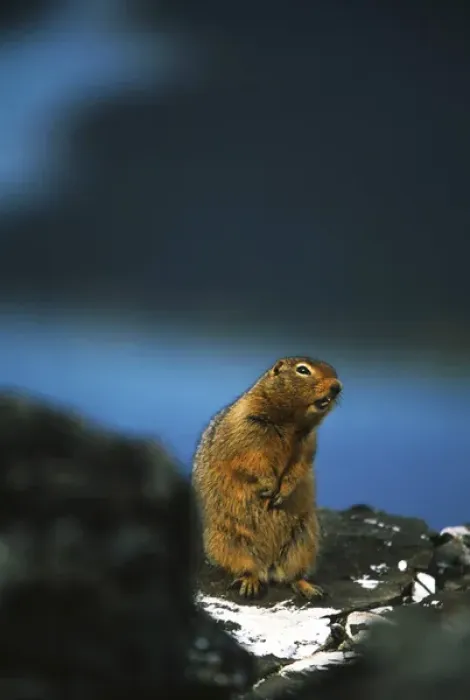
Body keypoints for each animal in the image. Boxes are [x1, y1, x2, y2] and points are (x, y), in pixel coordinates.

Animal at [192, 356, 342, 600]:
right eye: (303, 370)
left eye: (334, 371)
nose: (337, 386)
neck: (291, 421)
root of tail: (269, 567)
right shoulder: (248, 427)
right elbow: (252, 461)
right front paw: (270, 487)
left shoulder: (308, 442)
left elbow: (300, 466)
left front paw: (283, 492)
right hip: (228, 542)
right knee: (248, 569)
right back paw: (249, 584)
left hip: (304, 542)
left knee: (292, 576)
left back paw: (309, 588)